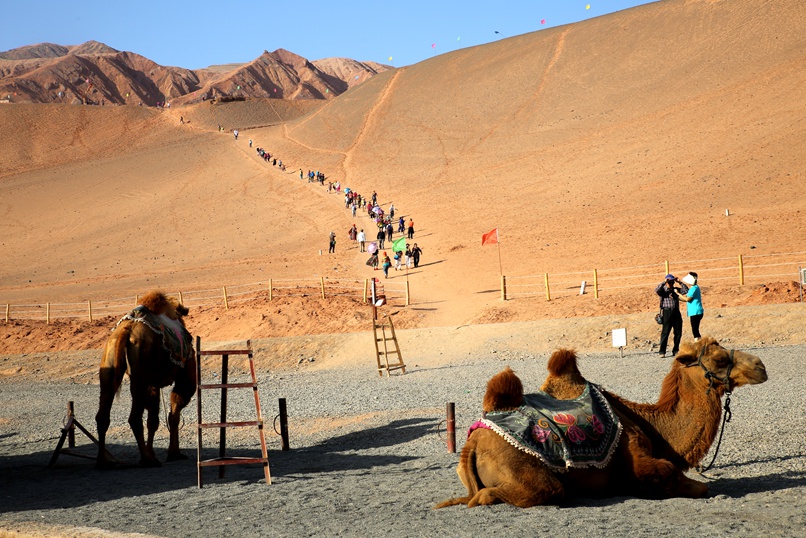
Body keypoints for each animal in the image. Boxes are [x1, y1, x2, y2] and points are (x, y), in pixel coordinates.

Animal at [95, 288, 198, 464]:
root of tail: (126, 331)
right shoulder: (184, 376)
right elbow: (173, 415)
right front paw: (174, 453)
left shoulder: (153, 383)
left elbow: (153, 420)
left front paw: (155, 452)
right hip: (140, 376)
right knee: (135, 418)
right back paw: (147, 459)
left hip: (110, 364)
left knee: (103, 414)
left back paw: (106, 460)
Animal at [436, 336, 772, 506]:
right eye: (719, 359)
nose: (761, 366)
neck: (652, 426)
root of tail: (471, 444)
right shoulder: (639, 458)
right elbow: (689, 483)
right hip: (526, 471)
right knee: (520, 493)